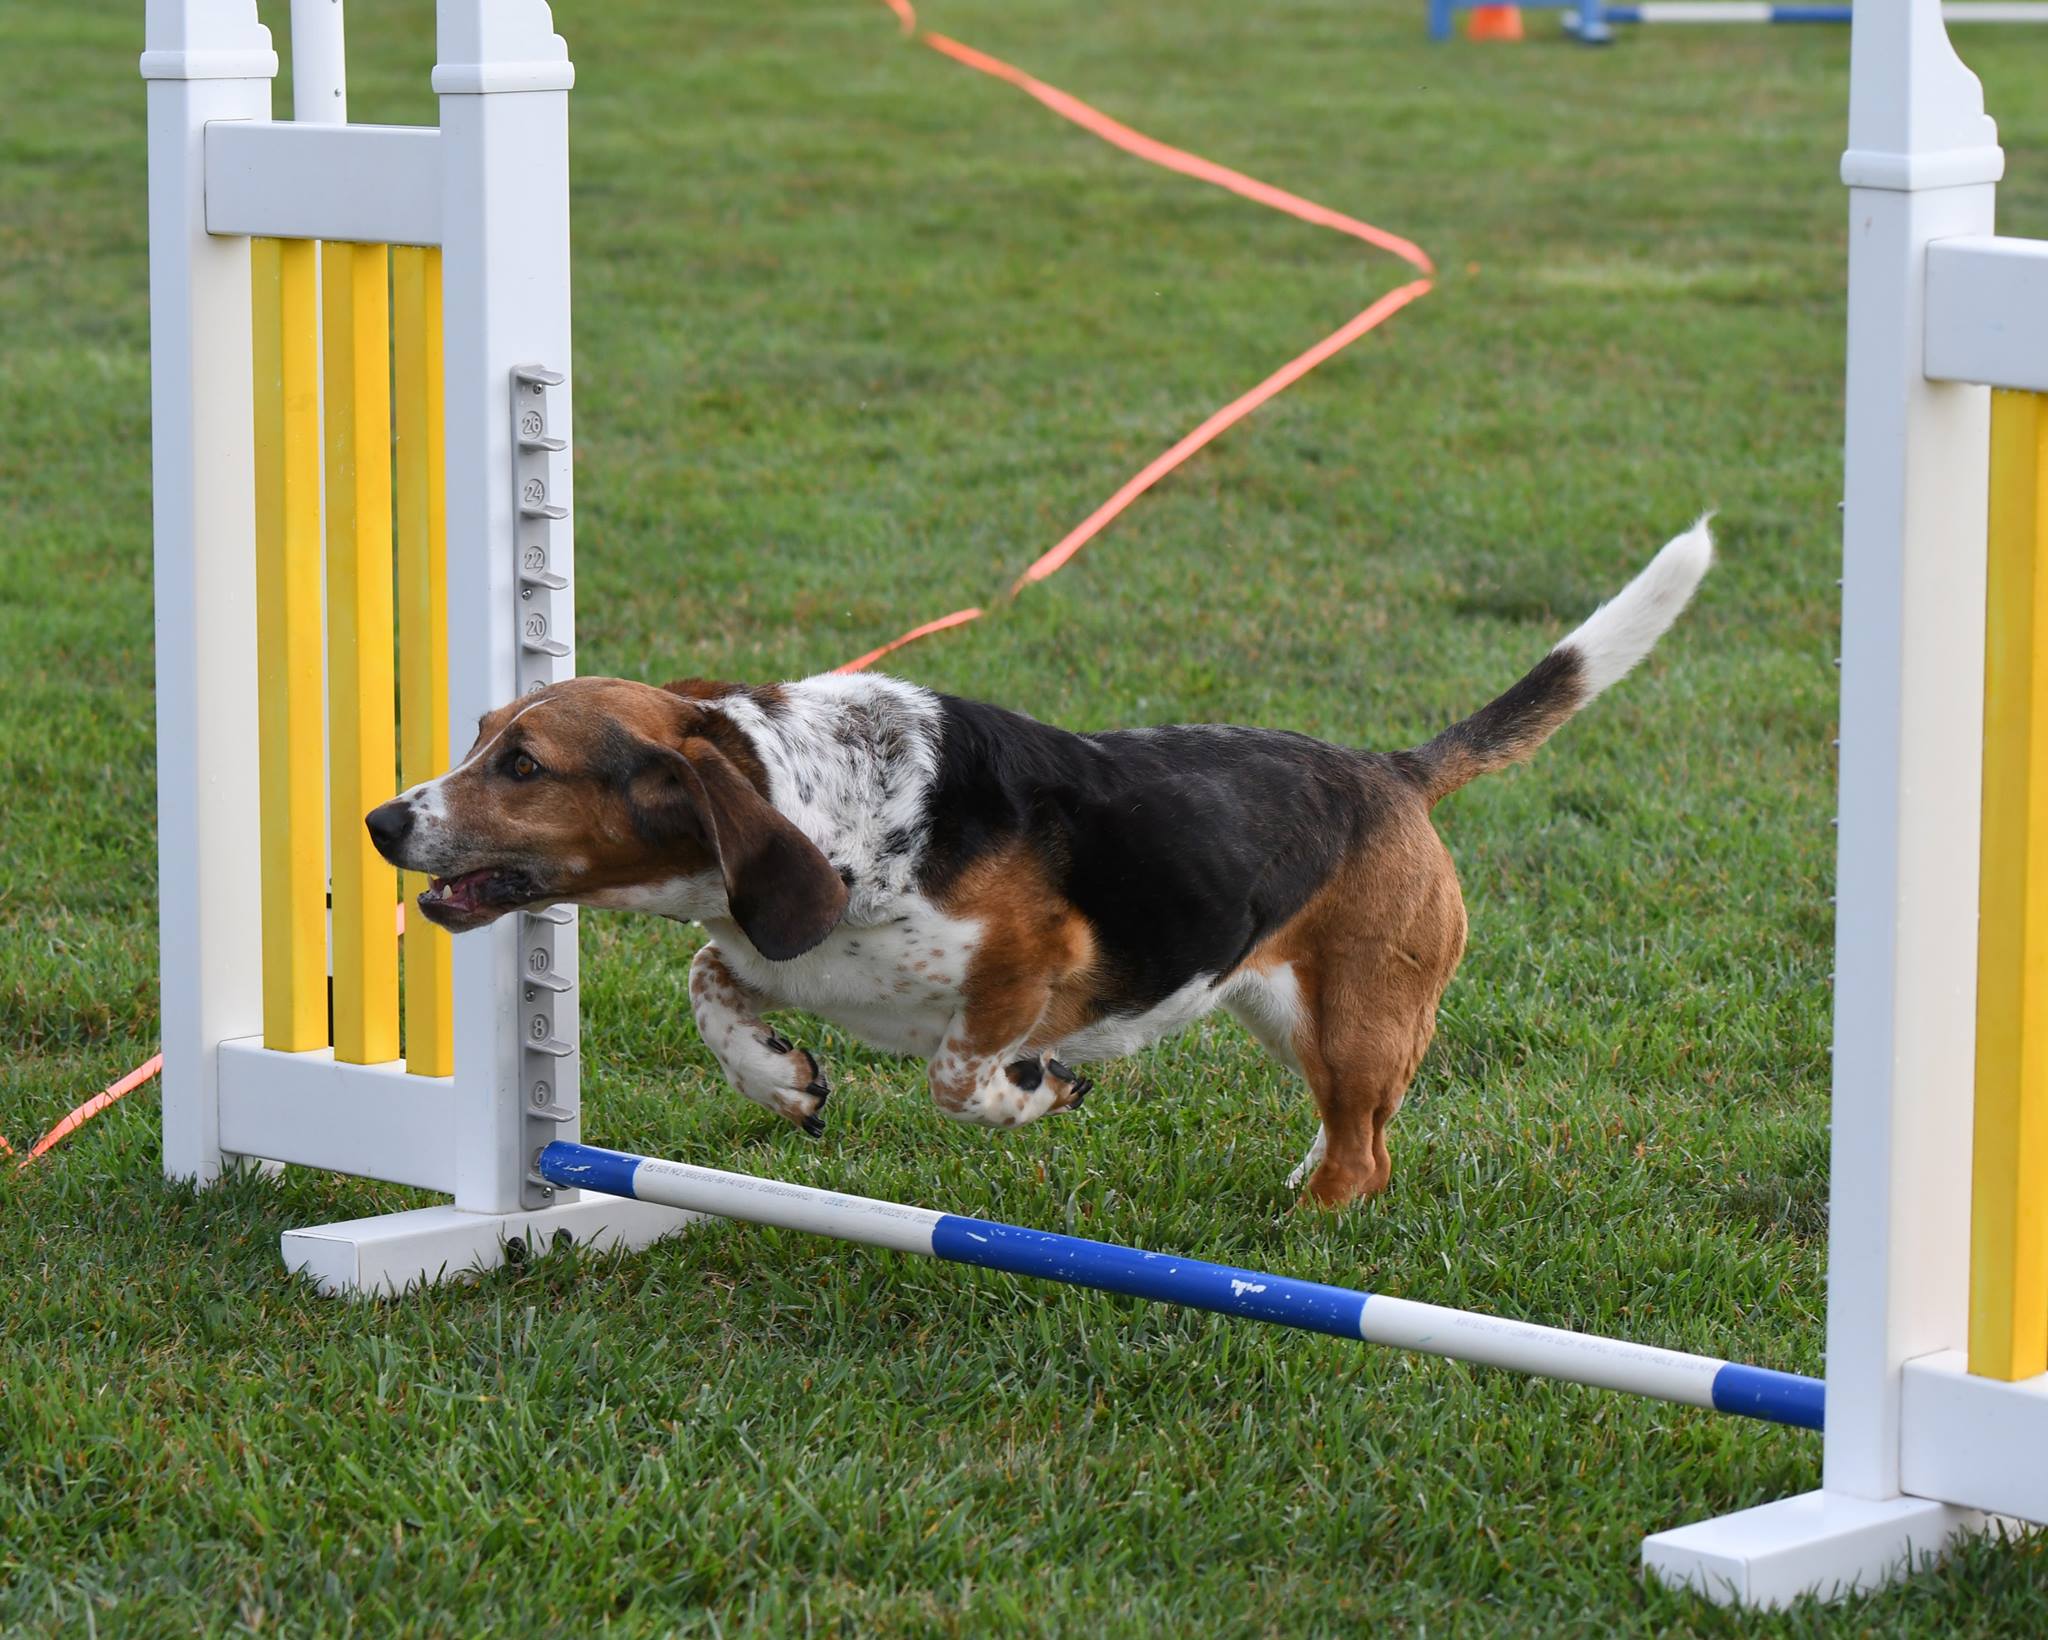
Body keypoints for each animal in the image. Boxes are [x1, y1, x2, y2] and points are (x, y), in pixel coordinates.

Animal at [368, 524, 1712, 1203]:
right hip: (1287, 1012)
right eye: (479, 734)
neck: (828, 806)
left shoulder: (1026, 964)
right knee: (1354, 1131)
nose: (381, 820)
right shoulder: (766, 949)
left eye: (523, 764)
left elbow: (960, 1076)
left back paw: (1295, 1234)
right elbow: (707, 980)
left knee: (1364, 1153)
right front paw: (781, 1079)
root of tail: (1388, 768)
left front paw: (1039, 1092)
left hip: (1356, 1016)